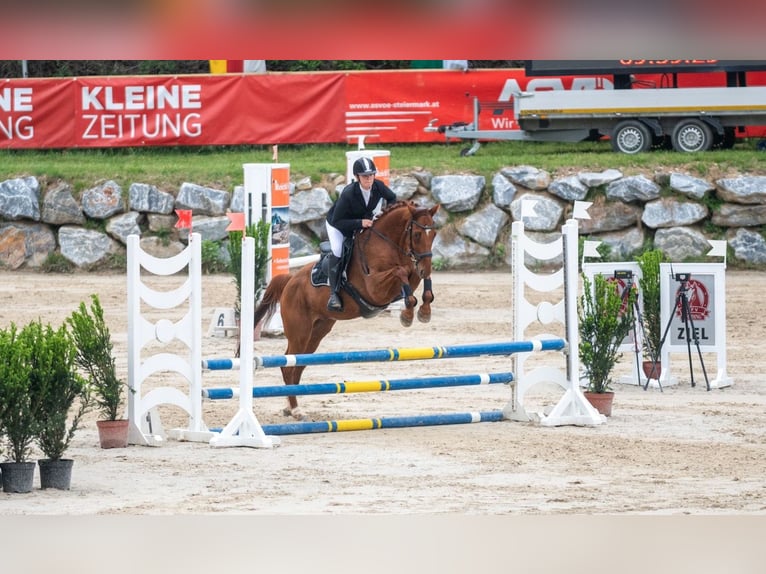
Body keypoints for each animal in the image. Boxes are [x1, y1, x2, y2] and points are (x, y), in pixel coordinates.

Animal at [254, 200, 444, 420]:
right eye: (418, 234)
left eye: (434, 234)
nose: (426, 267)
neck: (388, 245)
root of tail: (290, 280)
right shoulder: (375, 288)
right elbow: (401, 271)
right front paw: (407, 315)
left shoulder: (410, 276)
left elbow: (415, 277)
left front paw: (423, 312)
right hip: (299, 331)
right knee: (288, 365)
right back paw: (295, 410)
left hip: (318, 331)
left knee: (298, 365)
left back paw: (289, 406)